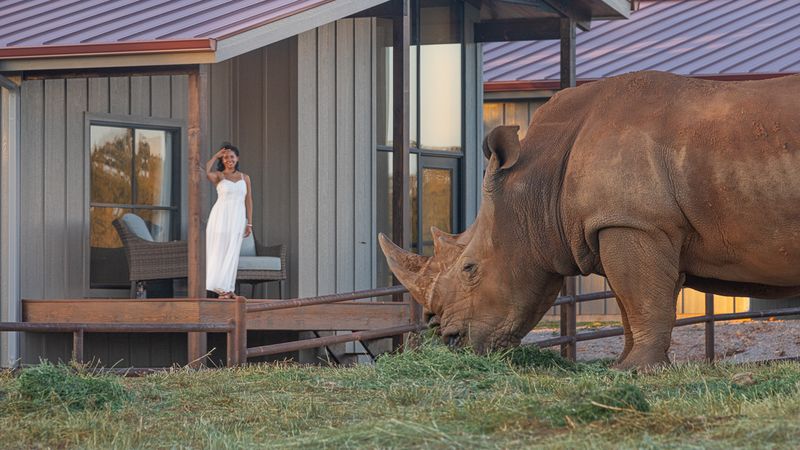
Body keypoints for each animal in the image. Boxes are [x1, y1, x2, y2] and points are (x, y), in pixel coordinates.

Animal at [379, 70, 800, 369]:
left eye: (470, 268)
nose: (448, 339)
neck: (538, 181)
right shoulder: (622, 225)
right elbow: (631, 302)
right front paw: (624, 366)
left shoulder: (633, 222)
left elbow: (644, 300)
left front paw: (637, 370)